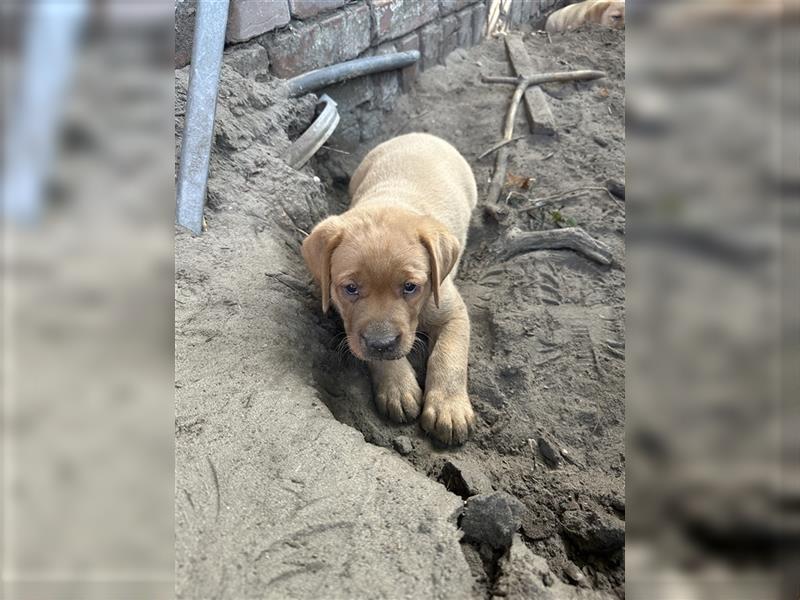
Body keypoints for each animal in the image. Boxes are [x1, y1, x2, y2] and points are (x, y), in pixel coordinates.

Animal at [300, 135, 476, 446]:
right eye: (350, 288)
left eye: (410, 287)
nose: (381, 342)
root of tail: (420, 134)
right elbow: (375, 356)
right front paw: (398, 386)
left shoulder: (453, 312)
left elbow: (449, 355)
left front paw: (449, 408)